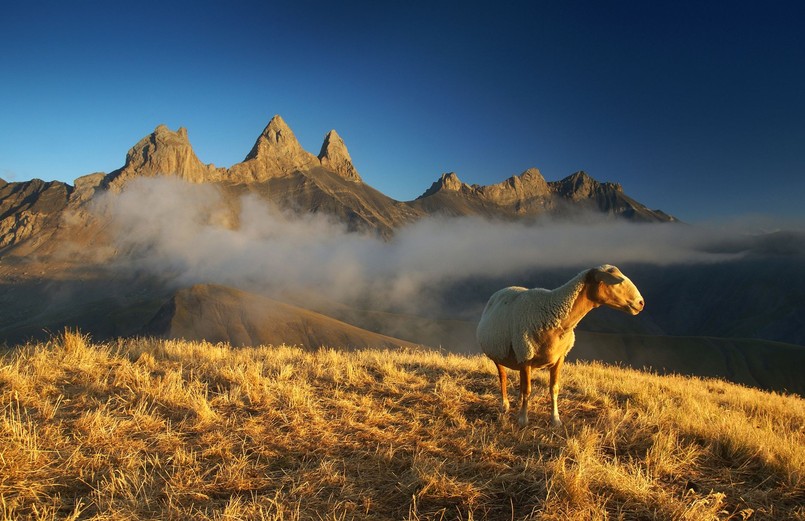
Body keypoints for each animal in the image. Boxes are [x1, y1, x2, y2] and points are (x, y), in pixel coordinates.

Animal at [478, 264, 640, 426]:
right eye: (616, 282)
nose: (641, 303)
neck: (553, 313)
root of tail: (501, 291)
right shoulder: (525, 355)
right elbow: (527, 390)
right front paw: (523, 419)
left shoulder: (559, 358)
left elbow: (554, 389)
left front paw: (555, 419)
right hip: (498, 353)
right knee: (503, 377)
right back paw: (504, 404)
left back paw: (517, 401)